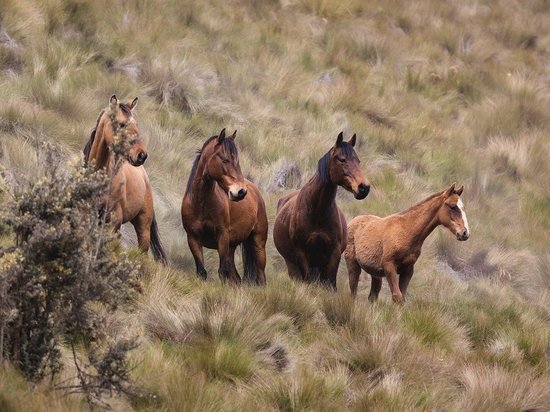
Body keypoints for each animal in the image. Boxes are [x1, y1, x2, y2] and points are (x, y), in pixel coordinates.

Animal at [183, 128, 270, 284]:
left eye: (237, 161)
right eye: (224, 159)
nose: (241, 192)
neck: (201, 204)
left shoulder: (222, 237)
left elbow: (222, 272)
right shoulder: (193, 239)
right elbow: (202, 272)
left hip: (258, 244)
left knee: (260, 277)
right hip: (231, 248)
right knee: (236, 278)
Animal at [274, 132, 374, 290]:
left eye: (358, 161)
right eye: (342, 159)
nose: (364, 187)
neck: (316, 212)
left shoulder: (334, 254)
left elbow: (330, 284)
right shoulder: (301, 253)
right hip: (292, 264)